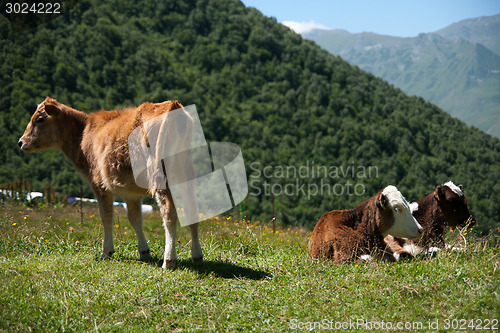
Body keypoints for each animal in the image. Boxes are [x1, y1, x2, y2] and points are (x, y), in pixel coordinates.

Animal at [19, 96, 203, 268]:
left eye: (39, 119)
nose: (21, 141)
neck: (83, 134)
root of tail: (172, 105)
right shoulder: (131, 192)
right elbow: (135, 218)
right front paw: (144, 251)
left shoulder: (98, 184)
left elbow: (106, 216)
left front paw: (106, 251)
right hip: (185, 170)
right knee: (192, 208)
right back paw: (197, 256)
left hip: (159, 175)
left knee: (169, 214)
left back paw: (169, 260)